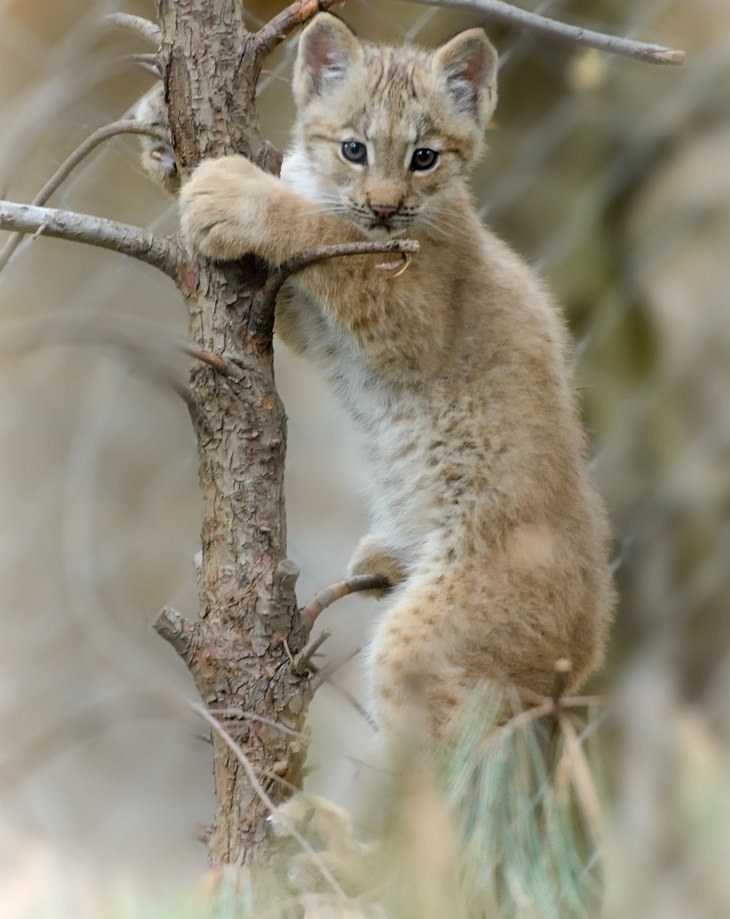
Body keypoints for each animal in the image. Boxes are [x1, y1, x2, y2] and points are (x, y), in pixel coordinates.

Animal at [179, 14, 612, 760]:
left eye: (425, 158)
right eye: (354, 149)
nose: (384, 209)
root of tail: (587, 649)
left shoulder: (406, 323)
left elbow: (326, 235)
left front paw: (240, 194)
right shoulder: (321, 328)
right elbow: (308, 265)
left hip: (427, 641)